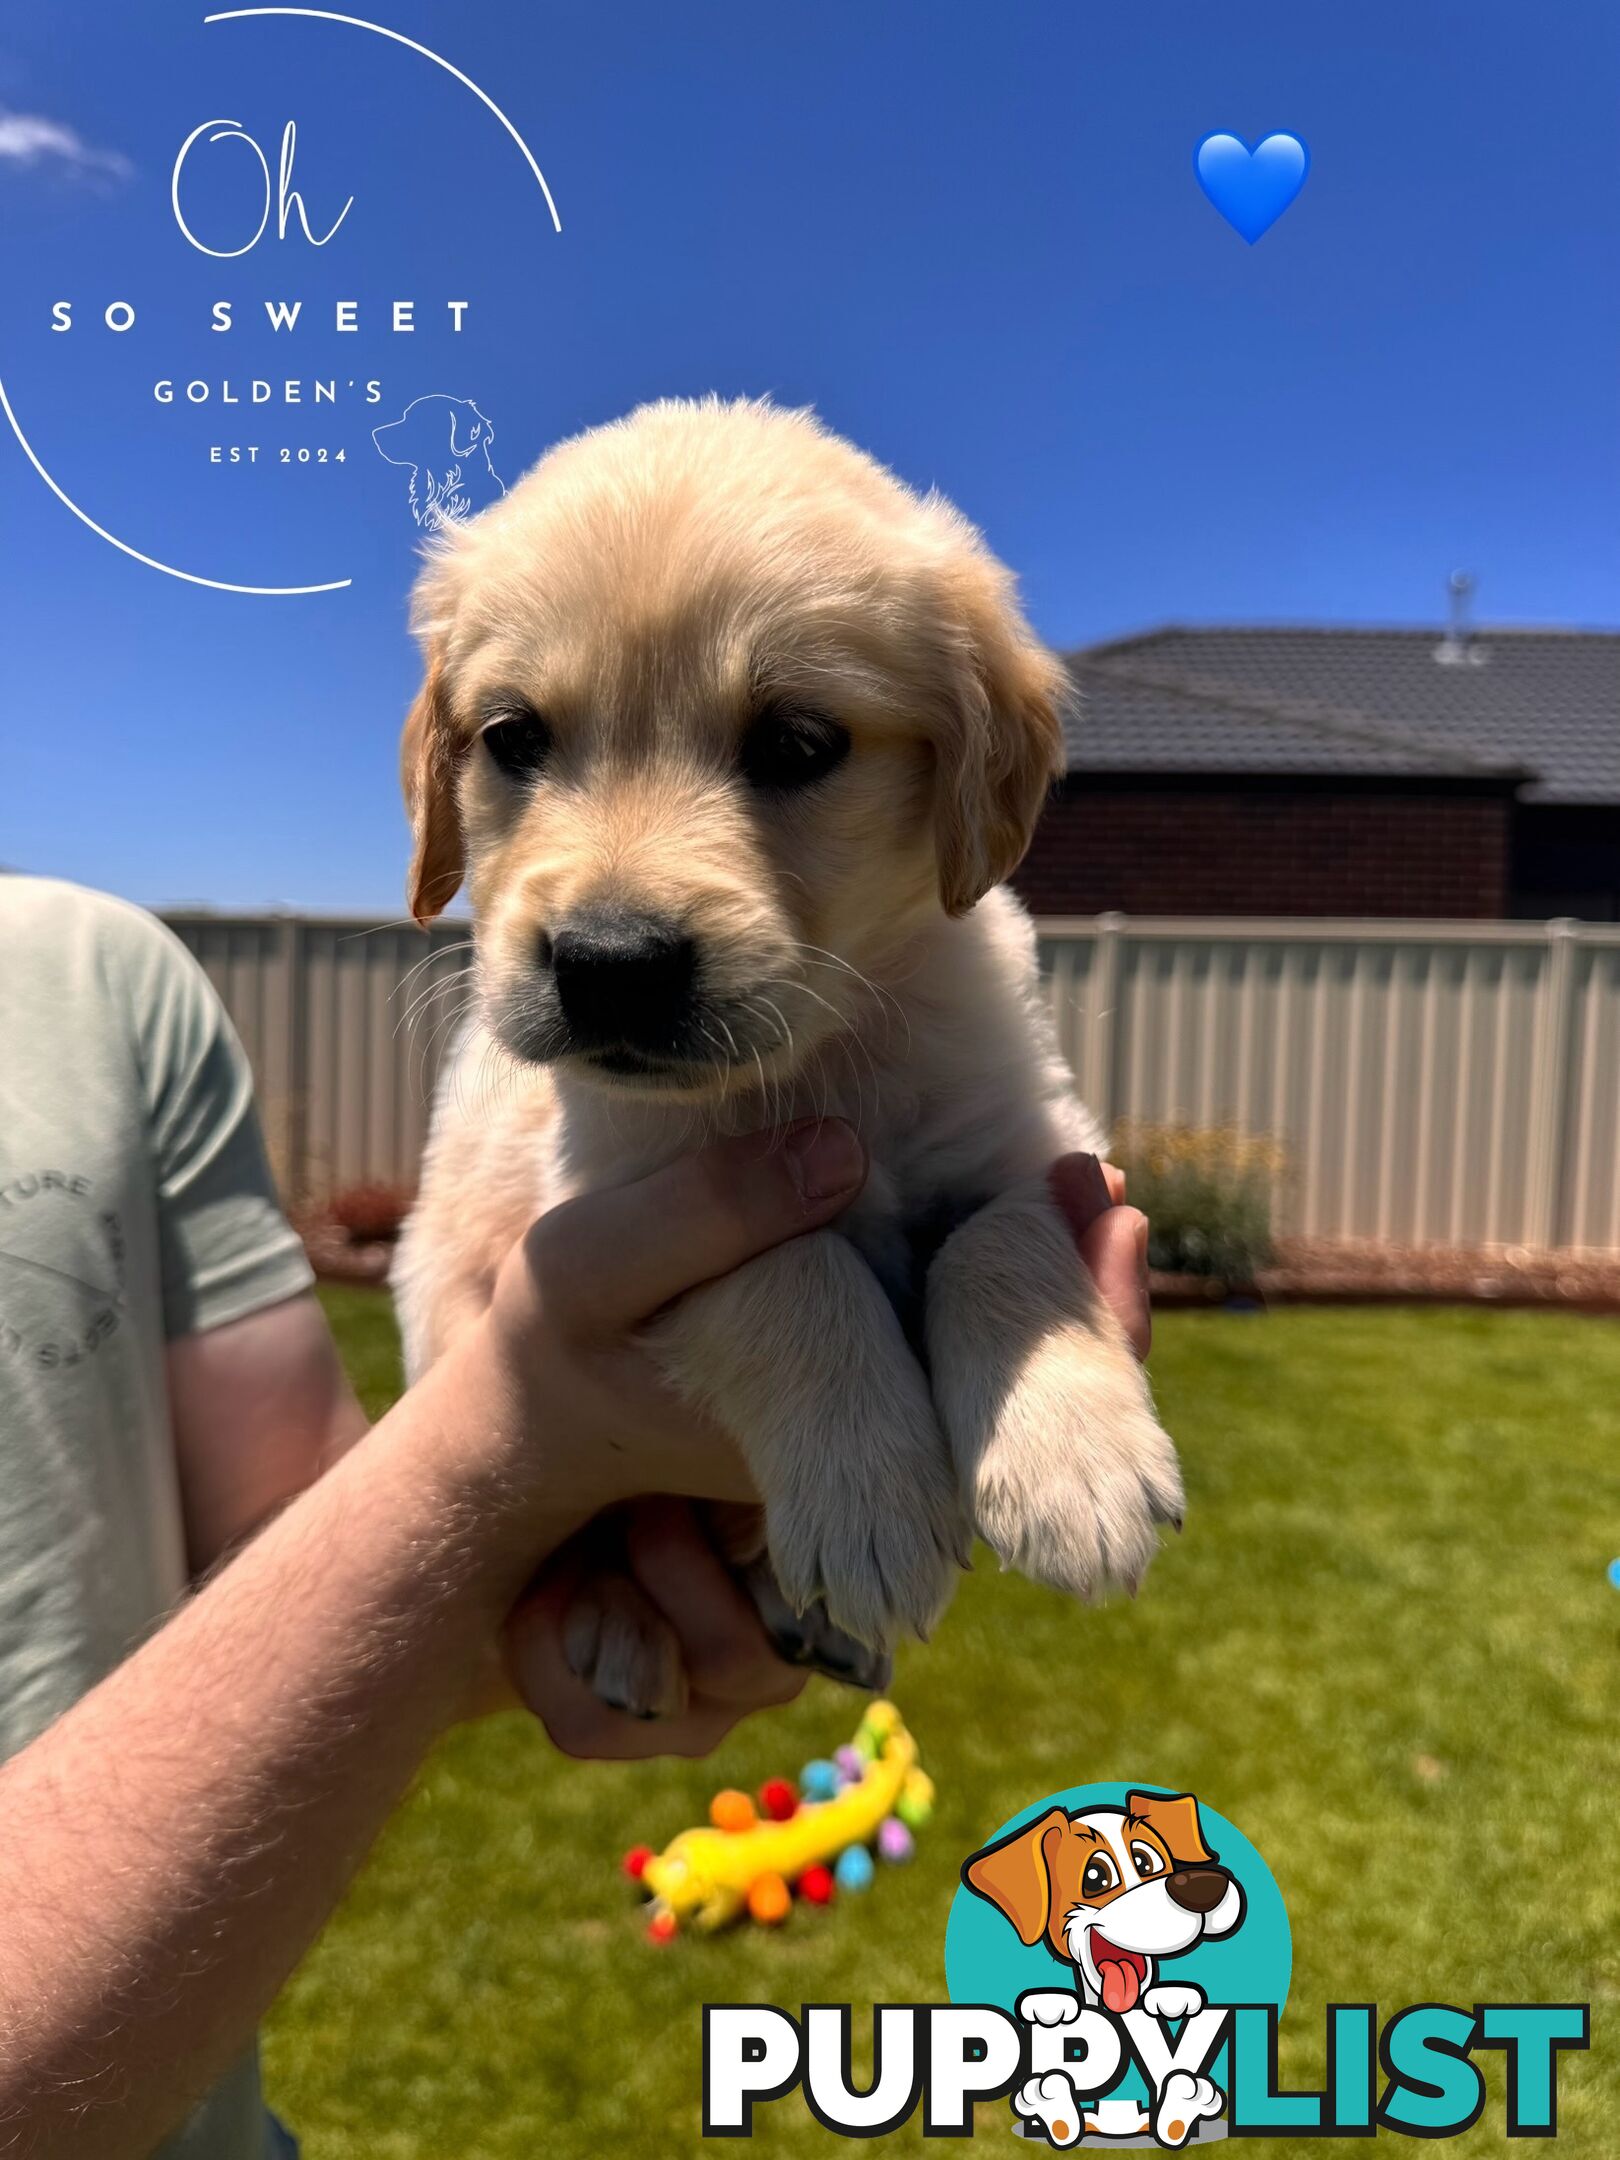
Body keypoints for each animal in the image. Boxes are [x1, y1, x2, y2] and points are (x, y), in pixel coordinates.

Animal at [393, 401, 1183, 1719]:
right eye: (512, 737)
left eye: (799, 742)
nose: (609, 963)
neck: (818, 1058)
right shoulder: (619, 1211)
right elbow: (791, 1268)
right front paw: (872, 1501)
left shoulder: (1041, 1138)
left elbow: (995, 1240)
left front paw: (1077, 1466)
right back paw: (620, 1633)